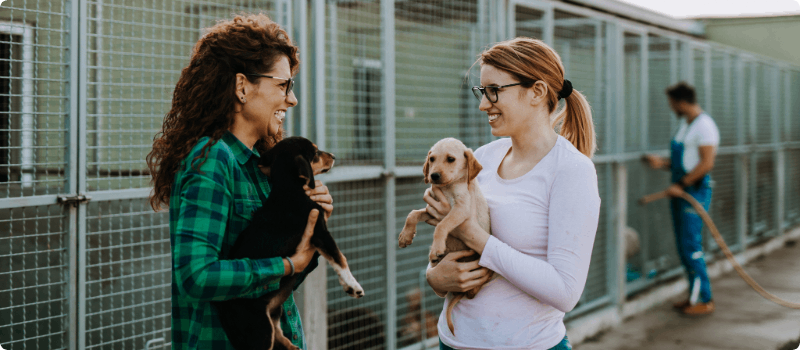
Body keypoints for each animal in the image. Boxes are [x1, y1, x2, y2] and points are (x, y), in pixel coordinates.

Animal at [212, 137, 362, 350]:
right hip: (259, 331)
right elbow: (340, 257)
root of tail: (221, 306)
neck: (289, 187)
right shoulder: (320, 232)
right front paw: (353, 286)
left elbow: (334, 258)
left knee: (280, 336)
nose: (333, 156)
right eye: (315, 153)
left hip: (273, 315)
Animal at [396, 137, 490, 334]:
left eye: (451, 159)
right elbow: (413, 214)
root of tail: (461, 292)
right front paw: (405, 236)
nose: (434, 176)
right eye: (432, 159)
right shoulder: (431, 208)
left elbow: (442, 225)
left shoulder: (460, 209)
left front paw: (437, 246)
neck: (448, 187)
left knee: (472, 291)